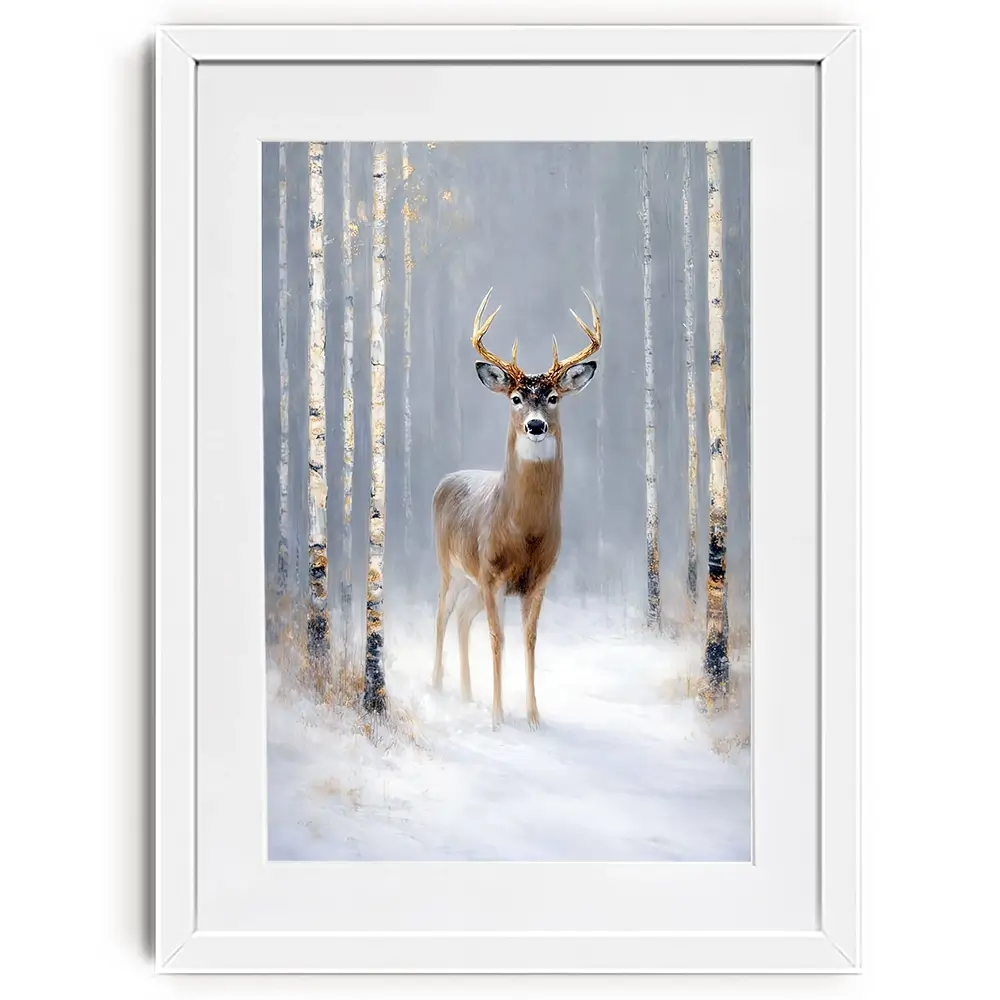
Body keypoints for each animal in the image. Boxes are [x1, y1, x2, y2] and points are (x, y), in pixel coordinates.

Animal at [431, 288, 602, 729]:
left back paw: (466, 693)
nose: (536, 425)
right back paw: (437, 685)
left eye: (554, 397)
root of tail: (444, 480)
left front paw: (533, 717)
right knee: (442, 614)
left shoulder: (538, 580)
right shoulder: (491, 575)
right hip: (451, 566)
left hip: (472, 582)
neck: (523, 533)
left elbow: (529, 640)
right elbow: (497, 638)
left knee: (461, 618)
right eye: (516, 397)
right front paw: (496, 717)